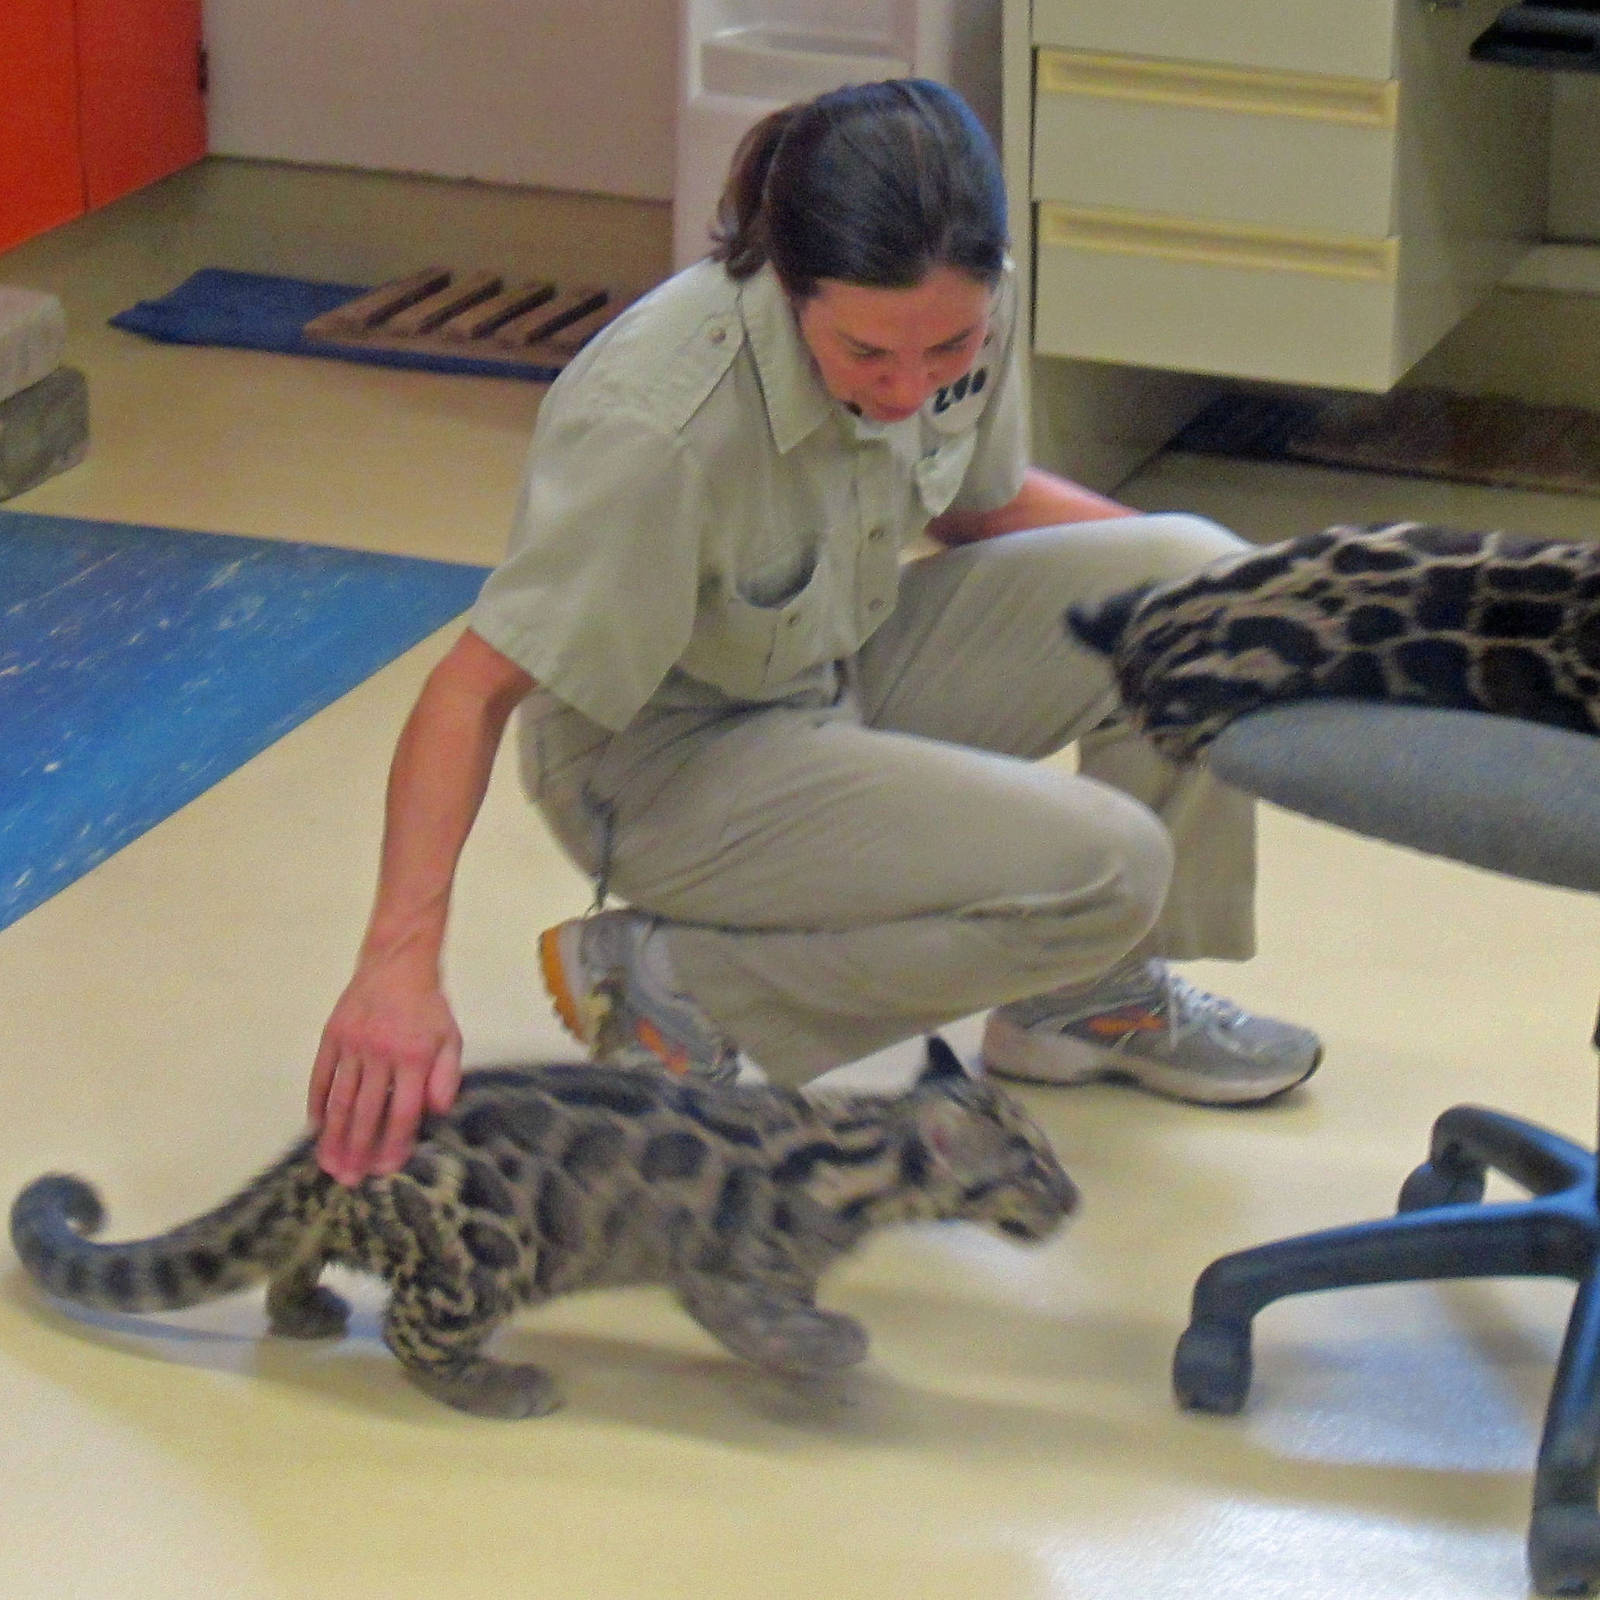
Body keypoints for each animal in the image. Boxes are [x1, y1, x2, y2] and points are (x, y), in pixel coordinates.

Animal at [9, 1037, 1077, 1419]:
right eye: (1031, 1164)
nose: (1073, 1199)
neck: (856, 1149)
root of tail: (321, 1153)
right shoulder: (723, 1272)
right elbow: (775, 1320)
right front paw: (830, 1351)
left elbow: (787, 1321)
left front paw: (805, 1361)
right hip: (489, 1254)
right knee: (408, 1333)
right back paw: (496, 1383)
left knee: (295, 1254)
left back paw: (304, 1307)